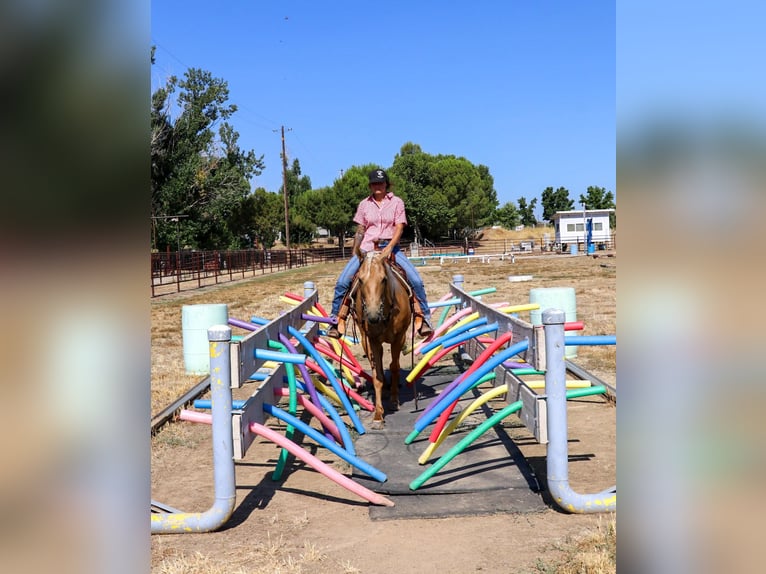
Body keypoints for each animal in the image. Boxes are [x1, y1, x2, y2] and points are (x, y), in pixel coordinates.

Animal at [350, 249, 413, 428]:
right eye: (360, 279)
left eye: (384, 279)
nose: (372, 316)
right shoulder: (372, 340)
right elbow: (376, 375)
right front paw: (378, 415)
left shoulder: (399, 338)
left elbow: (395, 367)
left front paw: (394, 400)